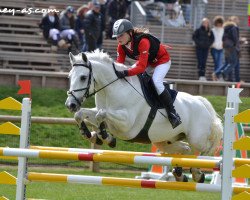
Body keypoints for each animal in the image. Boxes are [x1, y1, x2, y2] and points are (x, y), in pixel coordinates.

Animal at [64, 50, 223, 183]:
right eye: (70, 76)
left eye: (83, 77)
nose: (70, 104)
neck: (111, 90)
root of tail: (201, 102)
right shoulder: (103, 114)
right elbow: (83, 114)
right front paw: (91, 134)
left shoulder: (127, 124)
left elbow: (101, 115)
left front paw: (105, 137)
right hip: (165, 141)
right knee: (186, 149)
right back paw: (179, 173)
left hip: (196, 138)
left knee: (205, 150)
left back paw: (197, 173)